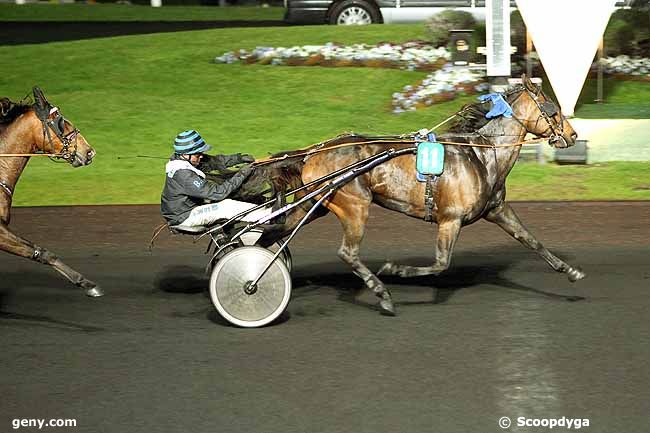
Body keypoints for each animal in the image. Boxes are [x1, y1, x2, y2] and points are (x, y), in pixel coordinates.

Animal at [249, 76, 584, 314]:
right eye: (553, 110)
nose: (572, 135)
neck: (480, 156)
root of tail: (313, 152)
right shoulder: (450, 219)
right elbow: (441, 263)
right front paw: (394, 269)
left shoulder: (497, 209)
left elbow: (531, 240)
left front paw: (570, 270)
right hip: (355, 204)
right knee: (347, 253)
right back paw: (381, 293)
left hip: (316, 203)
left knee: (274, 231)